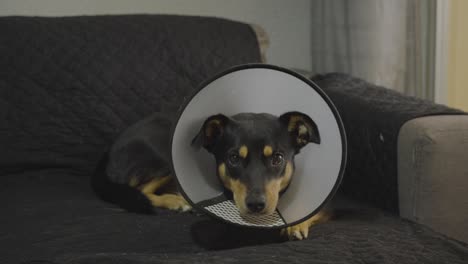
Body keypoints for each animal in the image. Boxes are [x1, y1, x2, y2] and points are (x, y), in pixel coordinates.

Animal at [92, 110, 330, 240]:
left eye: (278, 158)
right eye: (233, 158)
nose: (255, 205)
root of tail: (109, 150)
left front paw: (296, 223)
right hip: (163, 157)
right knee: (140, 189)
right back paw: (177, 202)